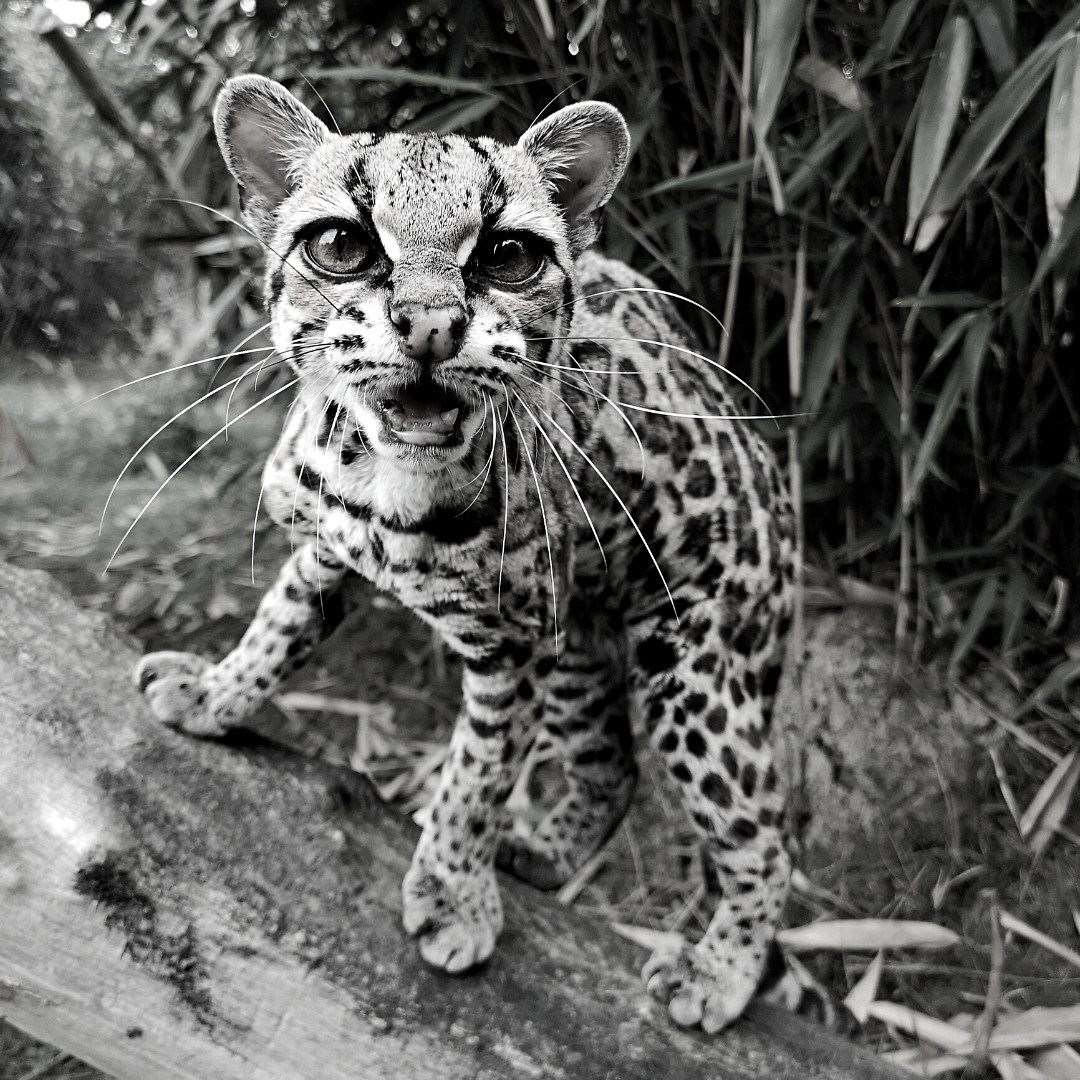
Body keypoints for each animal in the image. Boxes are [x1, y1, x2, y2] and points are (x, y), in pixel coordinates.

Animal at [132, 71, 794, 1032]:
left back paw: (721, 969)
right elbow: (276, 627)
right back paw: (549, 850)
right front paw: (215, 693)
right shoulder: (328, 550)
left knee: (762, 832)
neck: (381, 481)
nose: (429, 324)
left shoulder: (509, 647)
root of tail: (771, 470)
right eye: (341, 244)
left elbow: (474, 775)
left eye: (509, 255)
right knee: (611, 765)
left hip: (695, 665)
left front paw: (450, 896)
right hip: (578, 642)